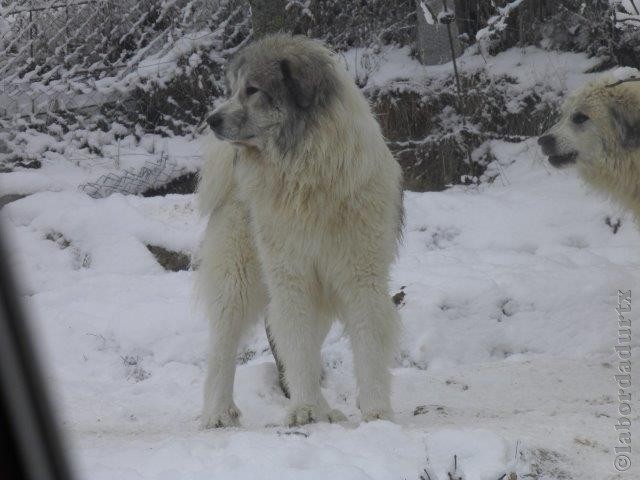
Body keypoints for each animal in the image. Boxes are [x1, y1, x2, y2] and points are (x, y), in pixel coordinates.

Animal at [198, 35, 402, 430]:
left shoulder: (362, 276)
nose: (211, 119)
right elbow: (296, 345)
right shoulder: (290, 277)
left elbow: (367, 344)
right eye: (232, 89)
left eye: (252, 89)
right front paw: (305, 408)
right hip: (237, 279)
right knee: (222, 347)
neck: (307, 174)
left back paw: (325, 410)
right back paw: (217, 412)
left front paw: (376, 413)